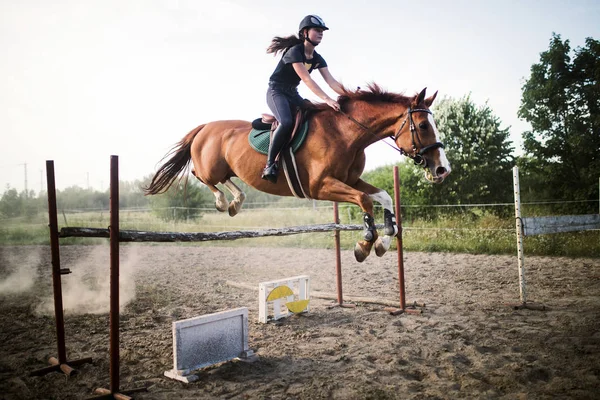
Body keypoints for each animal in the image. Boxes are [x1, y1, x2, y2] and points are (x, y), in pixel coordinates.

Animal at [144, 84, 450, 262]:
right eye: (424, 126)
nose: (442, 169)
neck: (346, 133)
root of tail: (204, 127)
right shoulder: (321, 186)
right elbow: (364, 200)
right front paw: (364, 244)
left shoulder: (349, 180)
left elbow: (384, 197)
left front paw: (384, 241)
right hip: (210, 167)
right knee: (201, 174)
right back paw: (224, 202)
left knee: (223, 180)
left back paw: (236, 202)